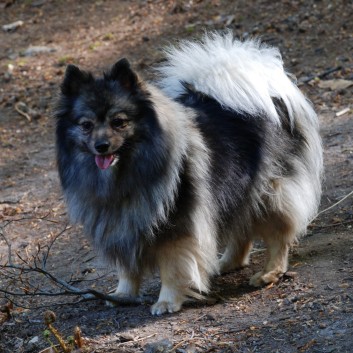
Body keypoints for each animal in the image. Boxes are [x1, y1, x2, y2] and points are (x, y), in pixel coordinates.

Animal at [53, 33, 322, 314]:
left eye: (119, 122)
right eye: (86, 125)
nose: (101, 145)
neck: (125, 175)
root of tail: (271, 97)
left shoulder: (177, 226)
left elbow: (173, 266)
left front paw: (167, 300)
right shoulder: (122, 225)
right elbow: (126, 268)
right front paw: (123, 294)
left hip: (270, 193)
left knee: (279, 235)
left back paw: (270, 272)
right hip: (237, 189)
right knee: (242, 229)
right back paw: (227, 263)